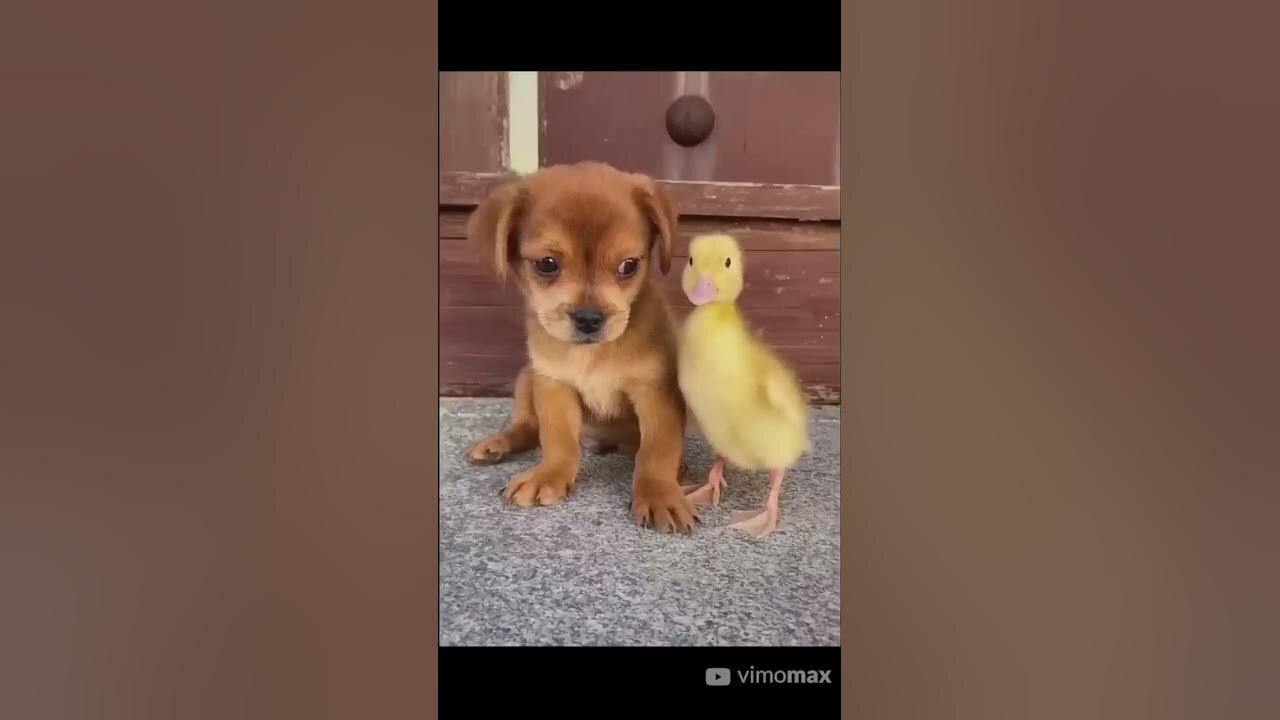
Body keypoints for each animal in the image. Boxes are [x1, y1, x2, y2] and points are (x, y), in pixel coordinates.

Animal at [465, 162, 696, 532]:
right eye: (546, 264)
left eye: (629, 265)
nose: (589, 318)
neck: (591, 354)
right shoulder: (554, 386)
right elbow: (557, 440)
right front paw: (550, 474)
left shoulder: (655, 392)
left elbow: (656, 450)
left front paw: (660, 492)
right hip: (526, 378)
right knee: (528, 428)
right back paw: (498, 443)